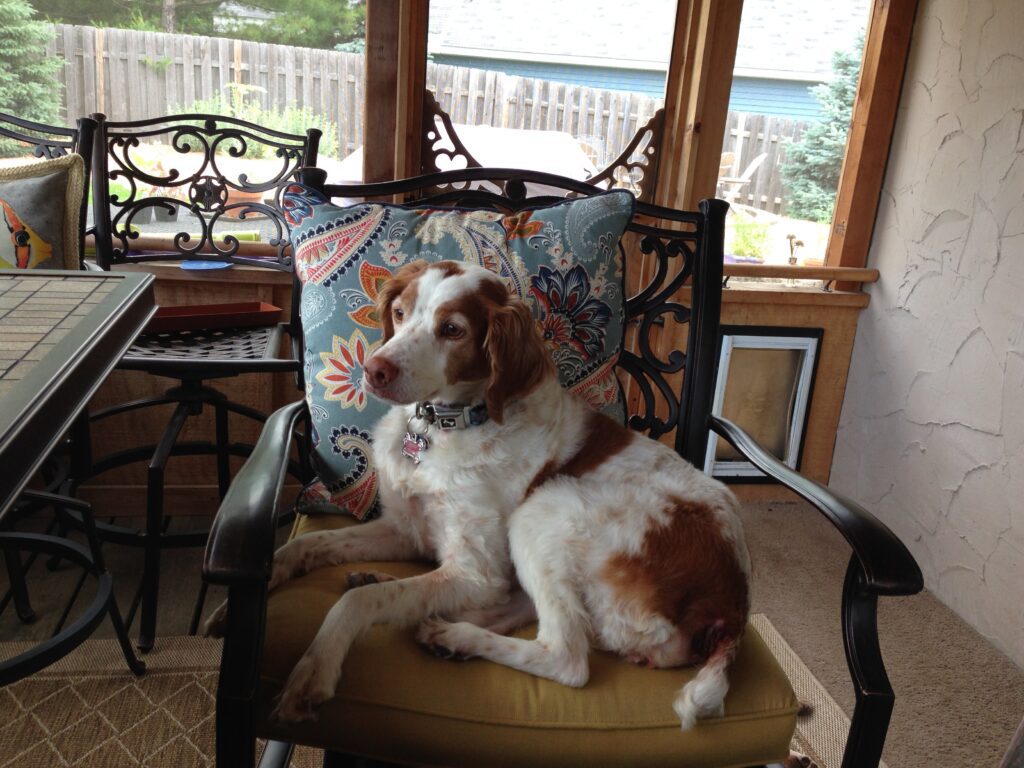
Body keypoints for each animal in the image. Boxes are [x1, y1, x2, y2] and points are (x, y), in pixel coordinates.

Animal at [246, 260, 749, 729]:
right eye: (400, 312)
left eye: (452, 330)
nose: (374, 370)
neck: (445, 427)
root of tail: (733, 606)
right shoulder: (406, 528)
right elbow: (310, 543)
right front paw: (265, 579)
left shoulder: (475, 571)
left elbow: (359, 603)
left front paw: (314, 669)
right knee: (511, 606)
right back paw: (433, 622)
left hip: (543, 508)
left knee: (566, 656)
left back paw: (457, 635)